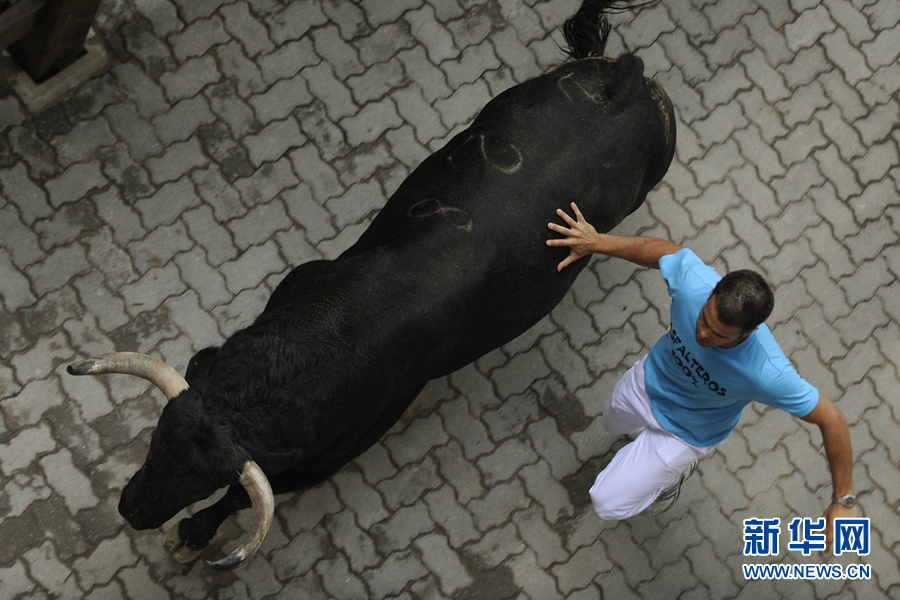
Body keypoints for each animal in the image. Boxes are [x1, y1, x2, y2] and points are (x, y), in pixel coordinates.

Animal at [70, 48, 676, 568]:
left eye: (200, 478)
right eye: (155, 439)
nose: (132, 509)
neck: (337, 332)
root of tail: (625, 80)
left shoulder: (330, 454)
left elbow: (242, 500)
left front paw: (192, 536)